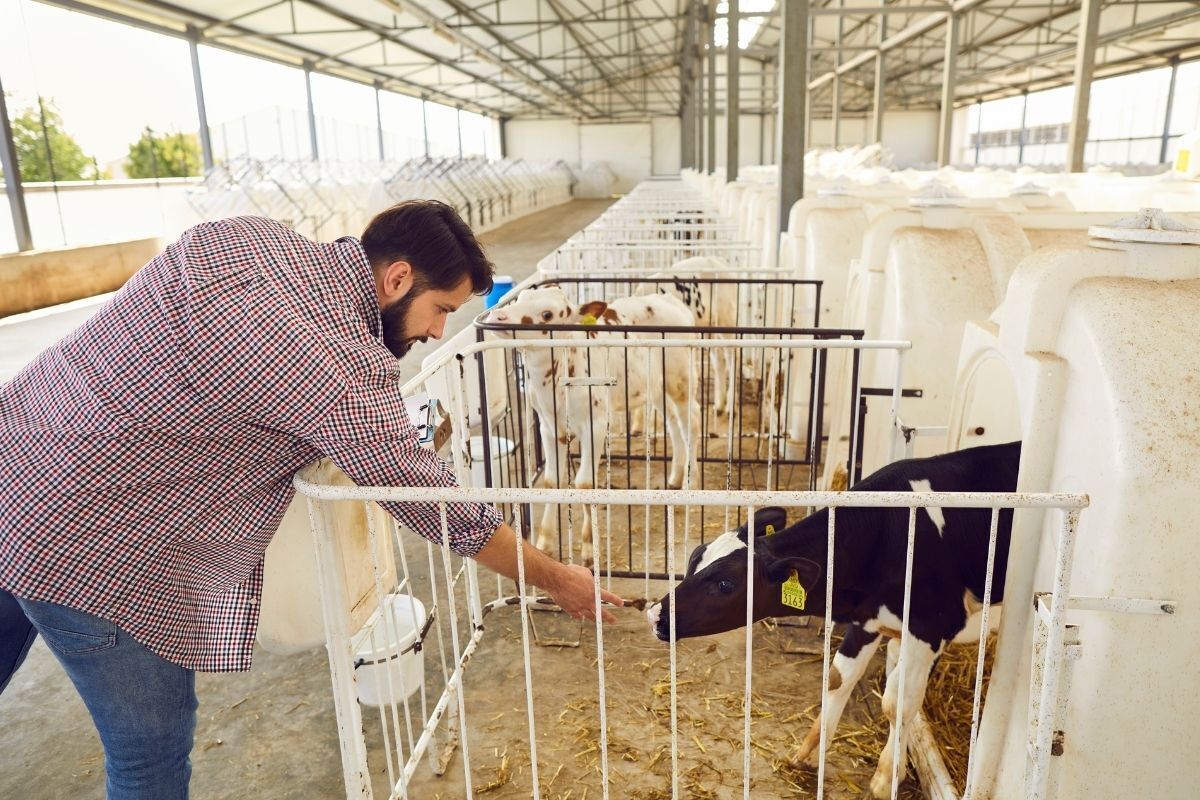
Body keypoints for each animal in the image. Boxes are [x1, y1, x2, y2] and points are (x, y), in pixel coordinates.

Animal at [482, 286, 700, 563]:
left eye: (547, 314)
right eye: (520, 299)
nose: (497, 316)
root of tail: (667, 299)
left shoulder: (595, 425)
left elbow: (585, 484)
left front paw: (588, 547)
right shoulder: (548, 427)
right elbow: (551, 482)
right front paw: (545, 541)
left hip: (681, 378)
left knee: (690, 421)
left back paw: (690, 484)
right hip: (655, 385)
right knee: (672, 420)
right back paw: (675, 477)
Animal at [648, 441, 1022, 796]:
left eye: (726, 584)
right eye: (695, 557)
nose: (657, 615)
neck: (887, 535)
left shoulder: (932, 624)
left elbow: (898, 703)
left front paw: (887, 778)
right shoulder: (867, 619)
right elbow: (837, 679)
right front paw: (811, 754)